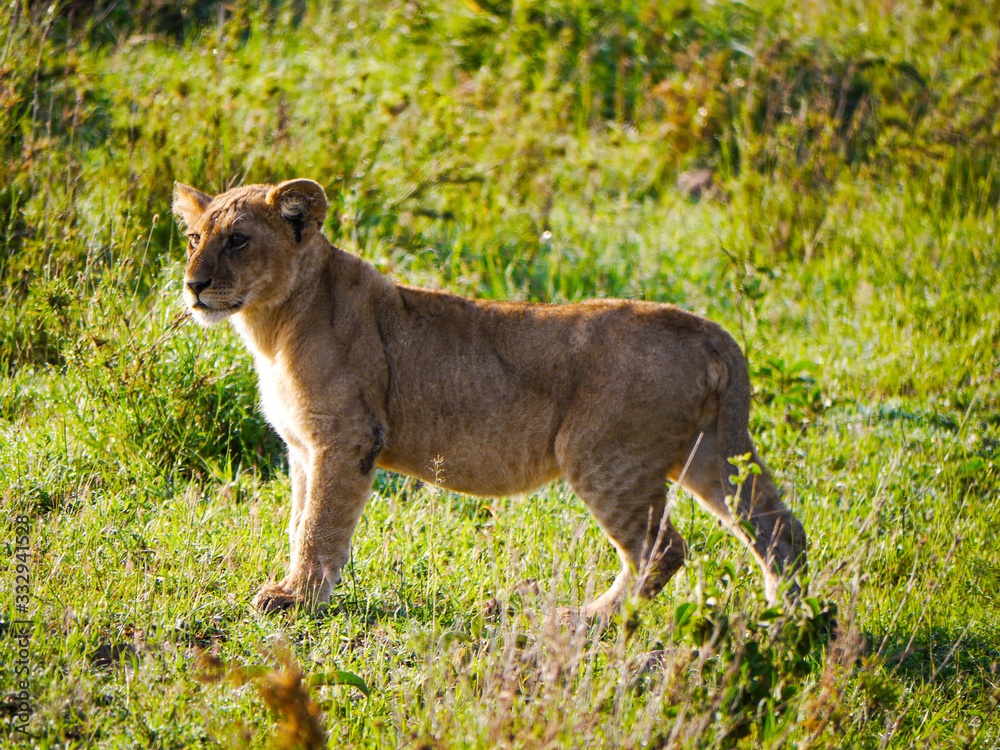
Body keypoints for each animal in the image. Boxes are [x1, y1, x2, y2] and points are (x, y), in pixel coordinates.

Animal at [172, 178, 807, 620]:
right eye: (194, 239)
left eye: (238, 240)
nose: (193, 285)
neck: (273, 326)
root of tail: (707, 329)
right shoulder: (304, 448)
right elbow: (299, 519)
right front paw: (294, 588)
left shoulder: (346, 439)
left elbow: (320, 526)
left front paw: (296, 600)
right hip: (710, 453)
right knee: (779, 528)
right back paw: (790, 616)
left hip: (603, 457)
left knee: (663, 550)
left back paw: (588, 618)